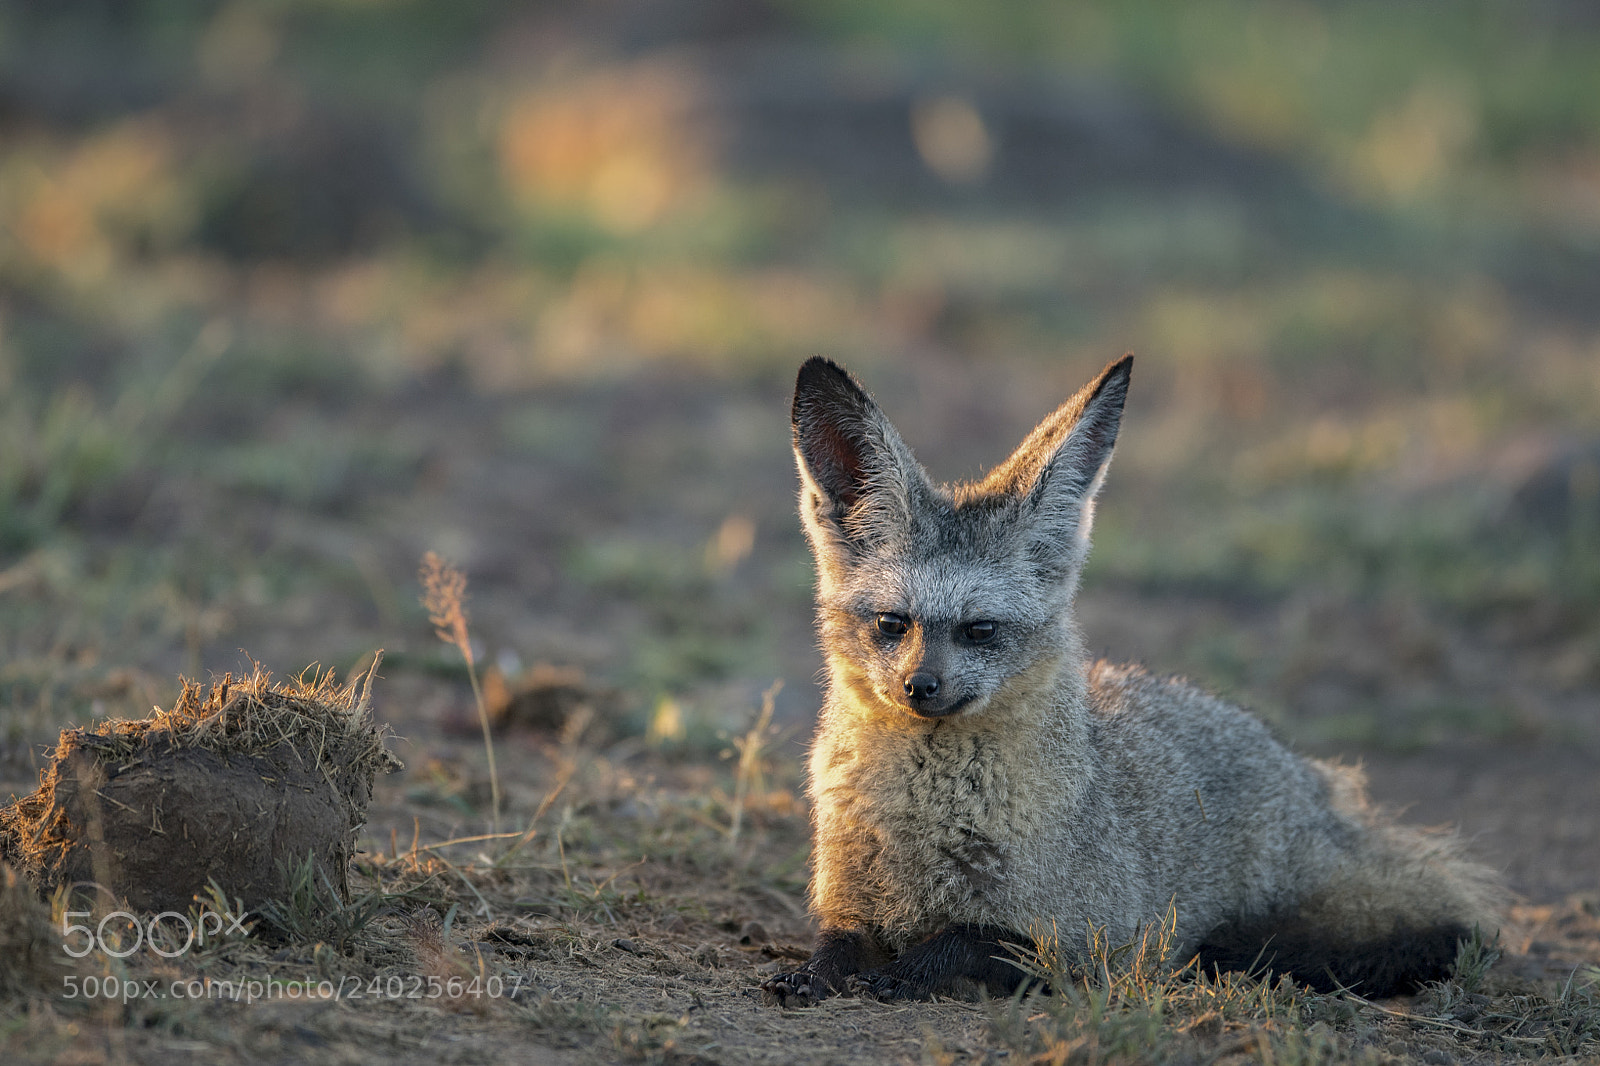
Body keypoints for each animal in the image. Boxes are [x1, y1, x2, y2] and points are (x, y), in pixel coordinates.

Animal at [761, 354, 1503, 1006]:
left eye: (980, 630)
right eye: (893, 623)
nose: (921, 687)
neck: (927, 821)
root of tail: (1317, 785)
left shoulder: (1091, 941)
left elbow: (970, 940)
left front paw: (908, 971)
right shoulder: (848, 902)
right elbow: (838, 944)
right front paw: (815, 972)